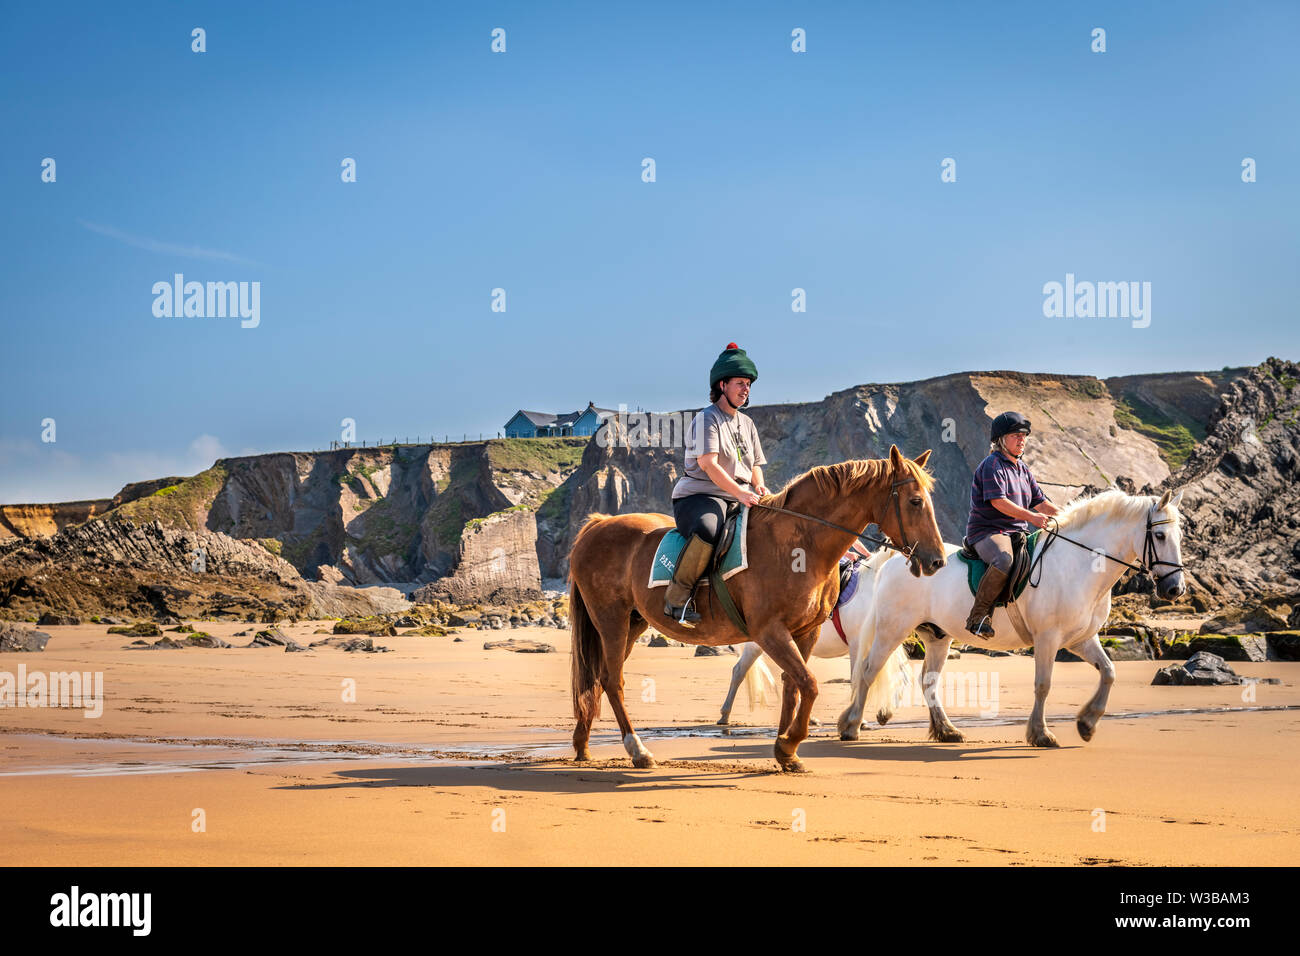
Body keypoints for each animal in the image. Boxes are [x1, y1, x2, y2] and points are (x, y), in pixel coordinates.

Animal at [712, 548, 915, 728]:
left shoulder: (886, 639)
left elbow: (900, 674)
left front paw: (884, 713)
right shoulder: (857, 644)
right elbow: (857, 677)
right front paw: (861, 720)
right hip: (757, 644)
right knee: (739, 671)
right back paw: (724, 715)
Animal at [837, 494, 1185, 749]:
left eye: (1180, 536)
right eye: (1159, 535)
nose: (1175, 589)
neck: (1080, 564)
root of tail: (899, 558)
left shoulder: (1081, 639)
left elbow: (1110, 672)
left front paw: (1087, 723)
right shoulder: (1048, 638)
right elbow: (1043, 684)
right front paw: (1041, 734)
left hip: (937, 636)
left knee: (928, 680)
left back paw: (947, 731)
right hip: (892, 629)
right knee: (867, 671)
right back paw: (851, 725)